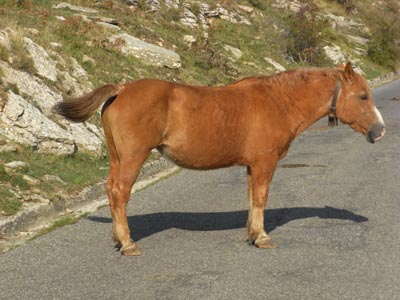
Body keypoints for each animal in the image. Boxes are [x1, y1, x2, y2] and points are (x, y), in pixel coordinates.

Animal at [52, 62, 384, 255]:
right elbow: (261, 198)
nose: (379, 131)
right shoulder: (264, 163)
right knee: (120, 193)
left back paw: (117, 239)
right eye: (363, 96)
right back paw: (127, 243)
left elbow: (252, 198)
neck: (278, 101)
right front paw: (262, 237)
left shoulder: (252, 165)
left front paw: (252, 234)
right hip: (133, 158)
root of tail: (121, 89)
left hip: (117, 158)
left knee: (111, 191)